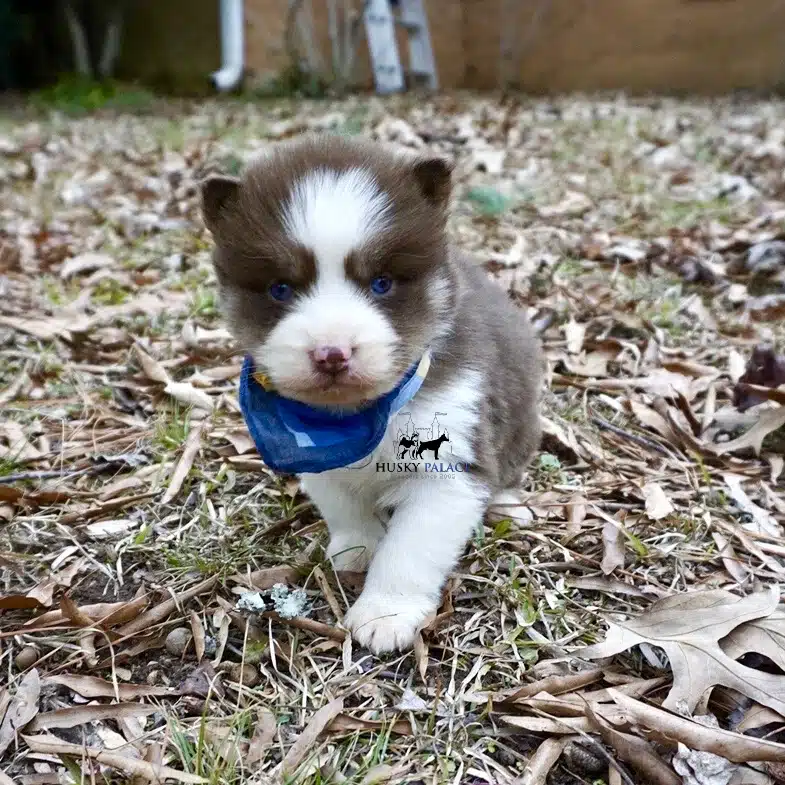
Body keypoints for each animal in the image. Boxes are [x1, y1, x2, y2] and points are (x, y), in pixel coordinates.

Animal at [202, 136, 544, 656]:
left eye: (381, 283)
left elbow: (409, 549)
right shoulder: (318, 460)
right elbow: (344, 506)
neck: (361, 416)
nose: (331, 354)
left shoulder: (448, 470)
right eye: (280, 288)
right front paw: (357, 546)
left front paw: (386, 611)